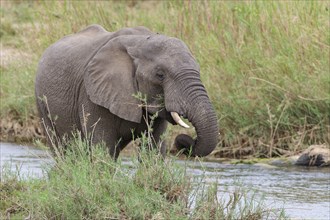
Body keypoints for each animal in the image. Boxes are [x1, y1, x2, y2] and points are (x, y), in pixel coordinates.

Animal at [35, 24, 219, 159]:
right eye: (160, 75)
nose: (182, 141)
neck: (140, 42)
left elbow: (153, 150)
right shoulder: (91, 95)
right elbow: (103, 148)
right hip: (41, 102)